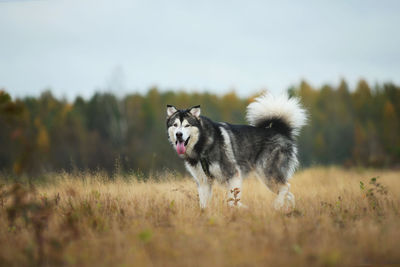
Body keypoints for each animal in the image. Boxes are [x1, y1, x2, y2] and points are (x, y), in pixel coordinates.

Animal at [166, 94, 306, 211]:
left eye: (187, 125)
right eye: (175, 125)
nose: (179, 135)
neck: (203, 145)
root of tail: (280, 130)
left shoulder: (233, 174)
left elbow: (232, 199)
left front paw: (239, 208)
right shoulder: (203, 181)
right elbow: (204, 204)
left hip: (267, 173)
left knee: (286, 187)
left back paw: (277, 205)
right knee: (289, 193)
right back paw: (288, 210)